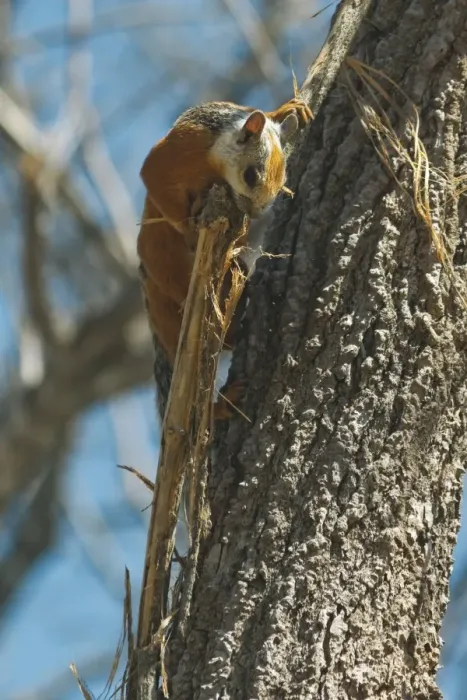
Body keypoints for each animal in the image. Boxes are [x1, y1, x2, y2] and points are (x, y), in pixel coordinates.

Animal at [137, 97, 312, 422]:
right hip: (165, 271)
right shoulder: (174, 152)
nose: (255, 213)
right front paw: (190, 228)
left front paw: (289, 108)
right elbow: (153, 177)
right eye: (251, 175)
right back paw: (221, 404)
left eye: (282, 180)